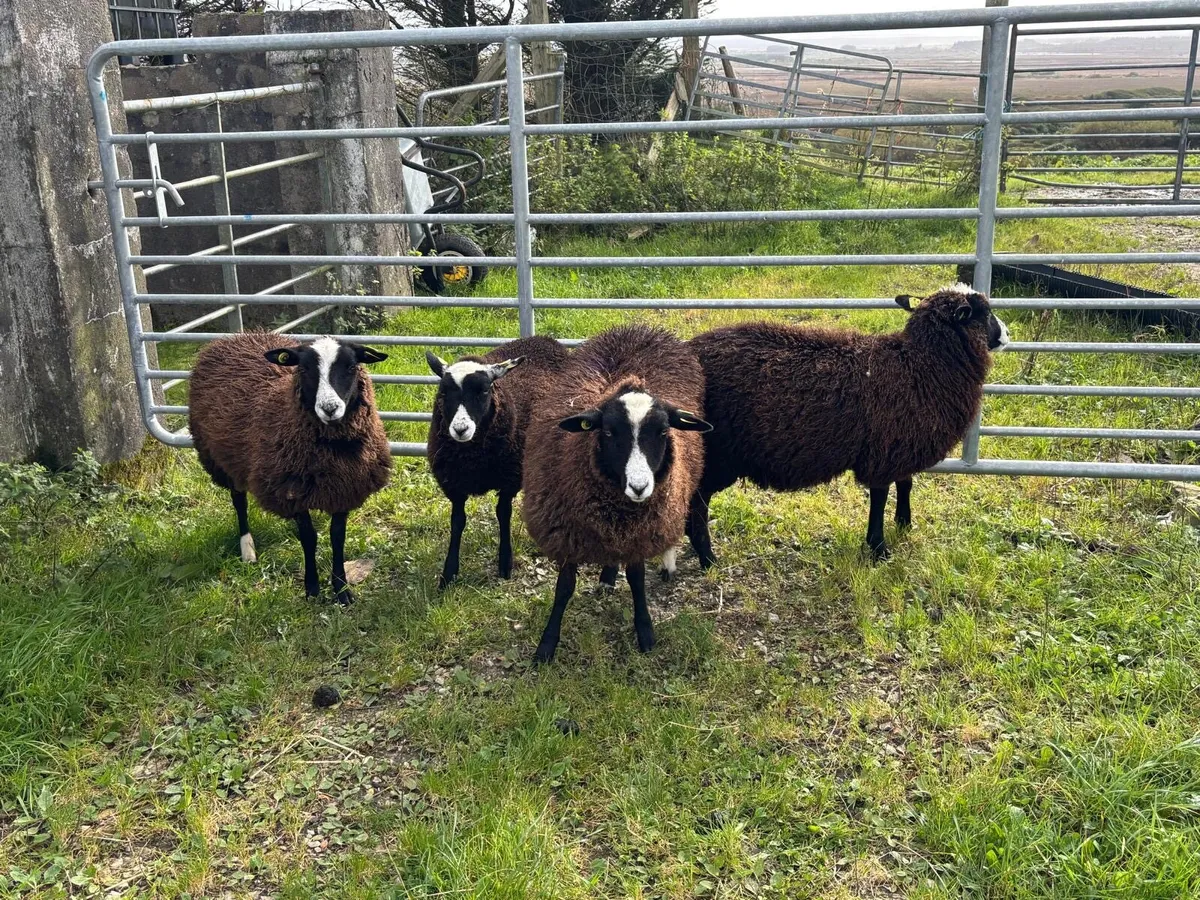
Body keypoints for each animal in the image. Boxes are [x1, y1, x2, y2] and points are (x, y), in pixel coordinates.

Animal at [188, 332, 393, 604]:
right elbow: (308, 538)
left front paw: (341, 590)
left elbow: (337, 537)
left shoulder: (344, 487)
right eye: (303, 368)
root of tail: (234, 337)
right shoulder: (290, 488)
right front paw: (312, 588)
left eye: (351, 367)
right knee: (239, 501)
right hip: (222, 458)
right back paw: (247, 549)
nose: (329, 408)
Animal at [425, 335, 571, 589]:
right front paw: (449, 573)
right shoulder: (454, 484)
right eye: (443, 392)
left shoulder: (509, 479)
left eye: (484, 390)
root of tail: (544, 338)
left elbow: (503, 514)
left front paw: (505, 563)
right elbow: (457, 522)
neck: (472, 458)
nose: (460, 429)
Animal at [521, 325, 711, 664]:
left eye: (663, 431)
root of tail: (638, 328)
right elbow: (564, 588)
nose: (639, 487)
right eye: (608, 432)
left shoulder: (639, 533)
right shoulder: (568, 534)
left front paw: (645, 633)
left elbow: (636, 579)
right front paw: (546, 646)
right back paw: (607, 577)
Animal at [685, 283, 1009, 564]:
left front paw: (904, 523)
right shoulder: (883, 452)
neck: (919, 365)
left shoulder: (901, 441)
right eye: (985, 313)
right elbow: (880, 497)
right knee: (697, 501)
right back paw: (708, 558)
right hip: (716, 454)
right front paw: (879, 548)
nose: (1007, 334)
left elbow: (906, 483)